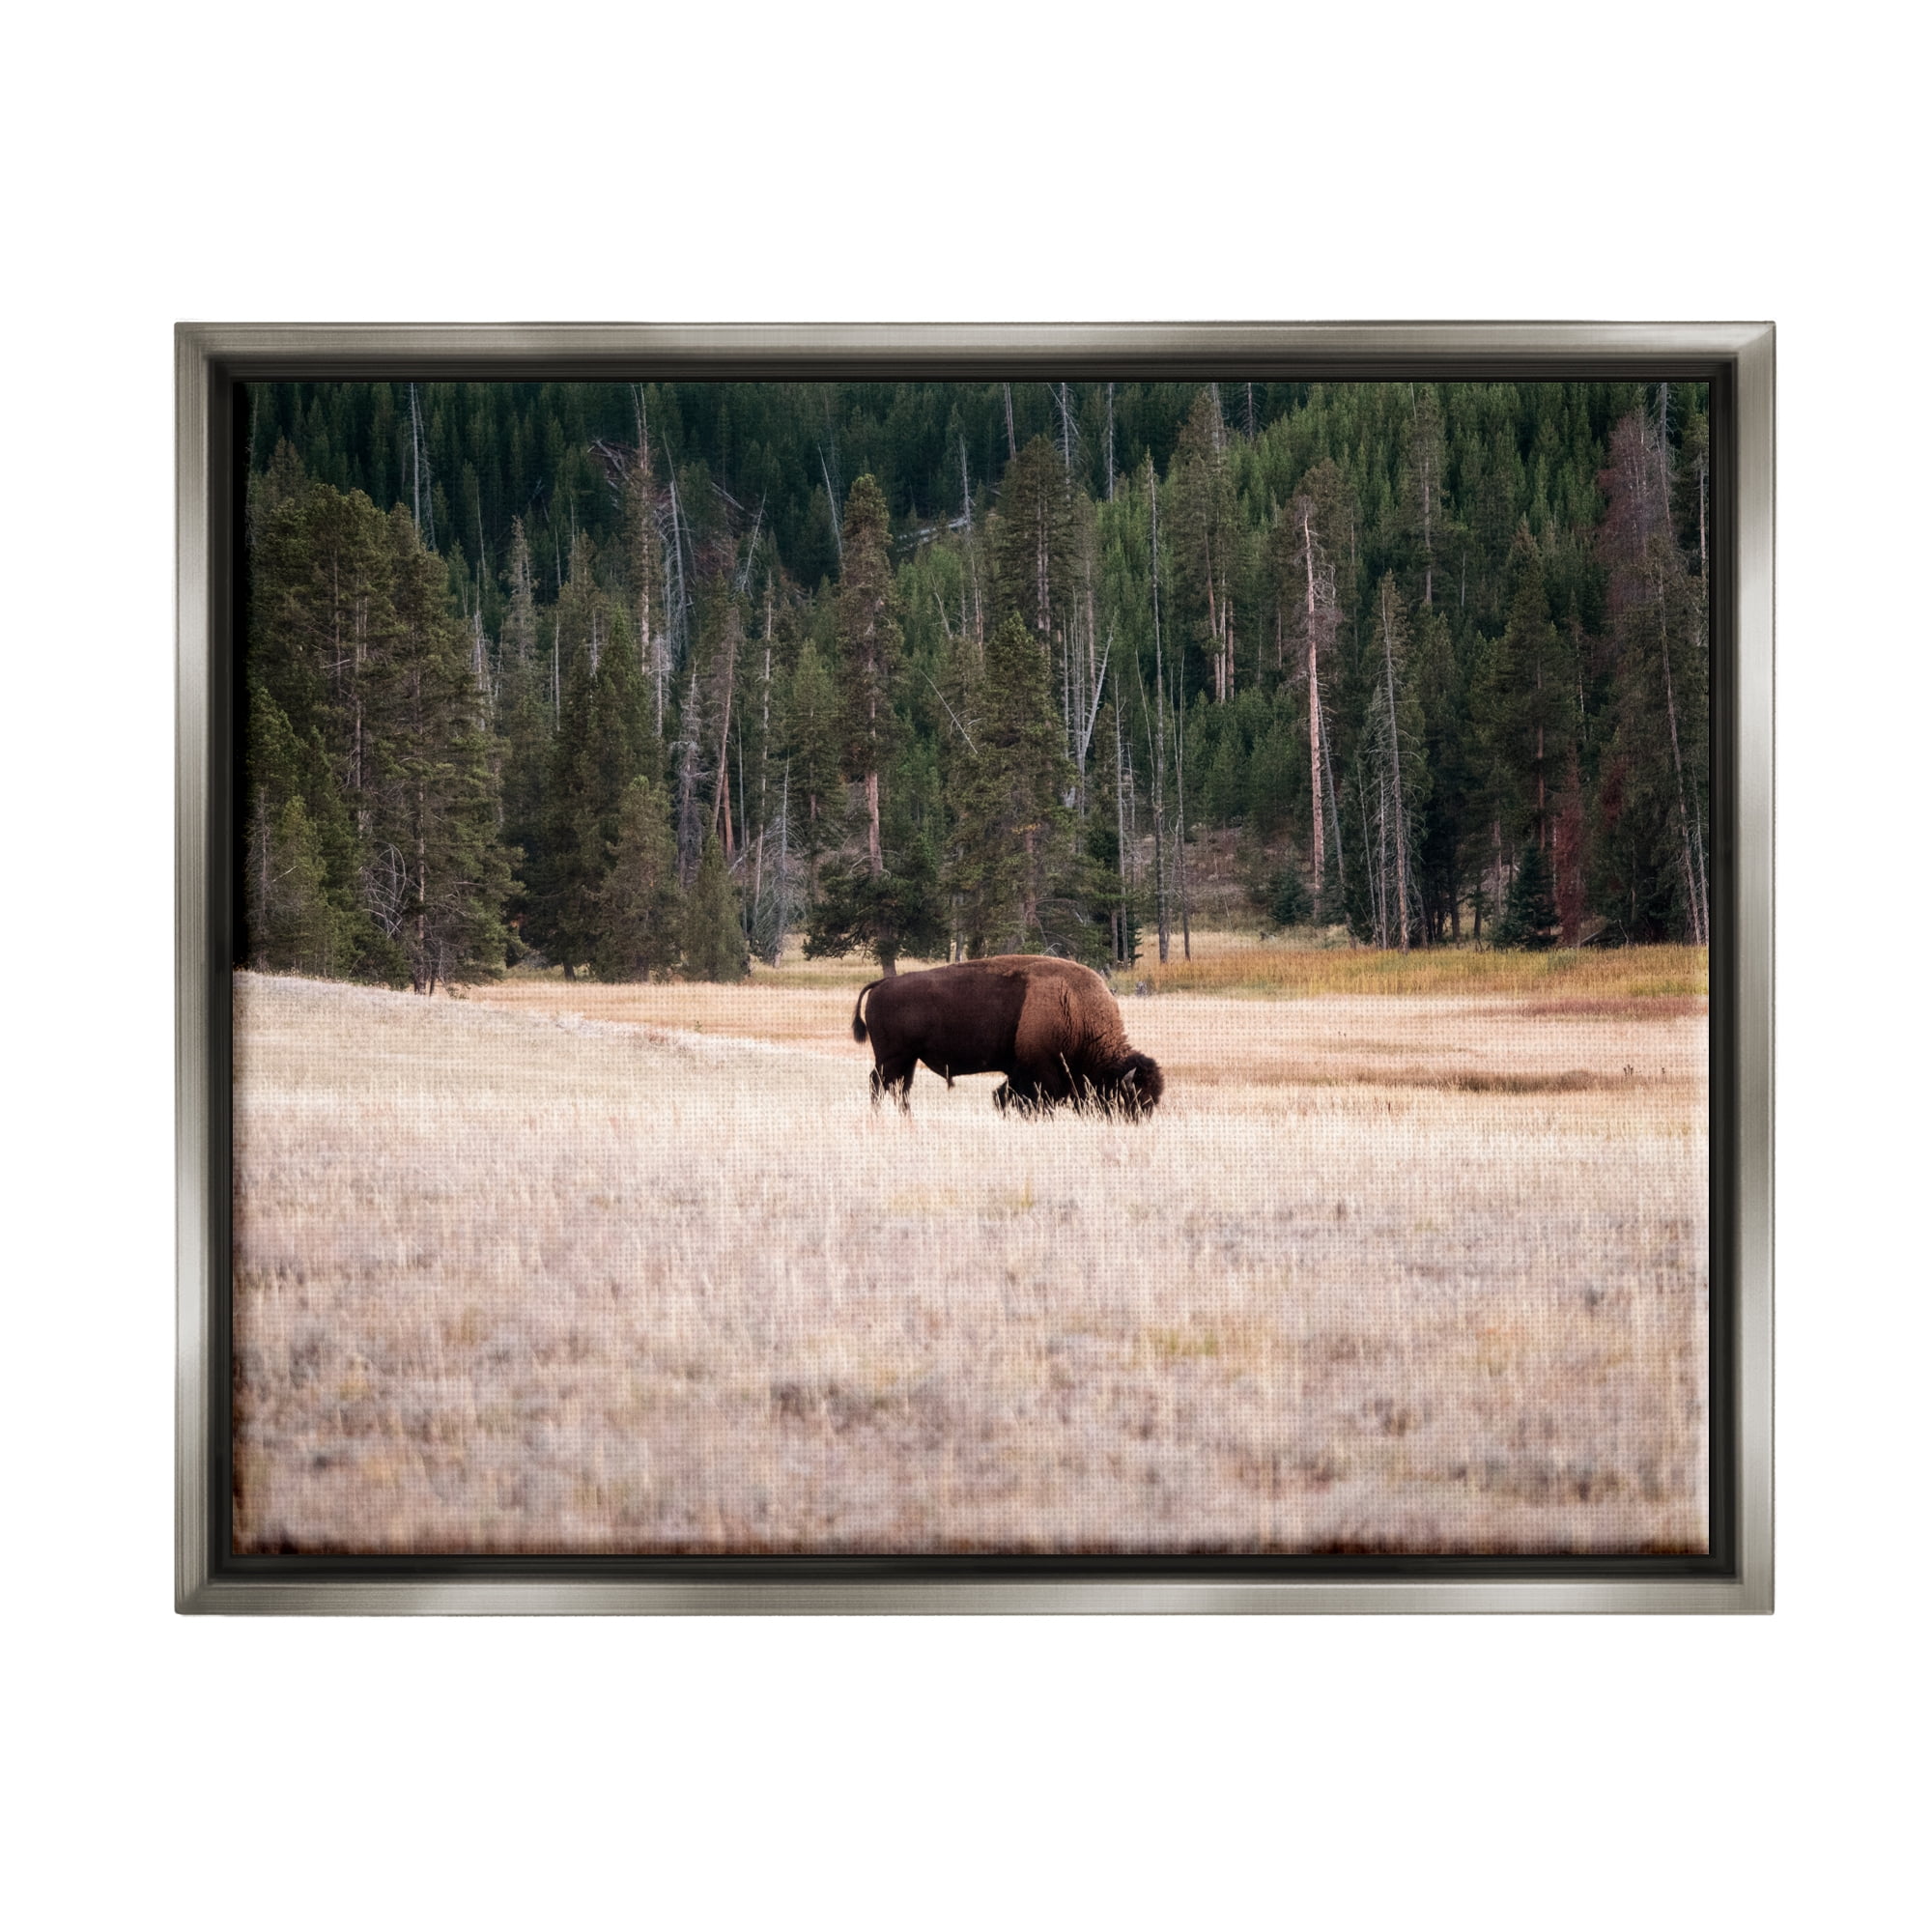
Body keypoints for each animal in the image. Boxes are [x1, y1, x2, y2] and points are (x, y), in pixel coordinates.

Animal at [851, 956, 1164, 1119]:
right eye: (1131, 1099)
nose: (1137, 1123)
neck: (1075, 1008)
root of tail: (884, 983)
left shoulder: (1020, 1073)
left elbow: (1004, 1096)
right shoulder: (1038, 1074)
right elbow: (1025, 1100)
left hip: (908, 1059)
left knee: (900, 1088)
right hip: (892, 1058)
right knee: (879, 1085)